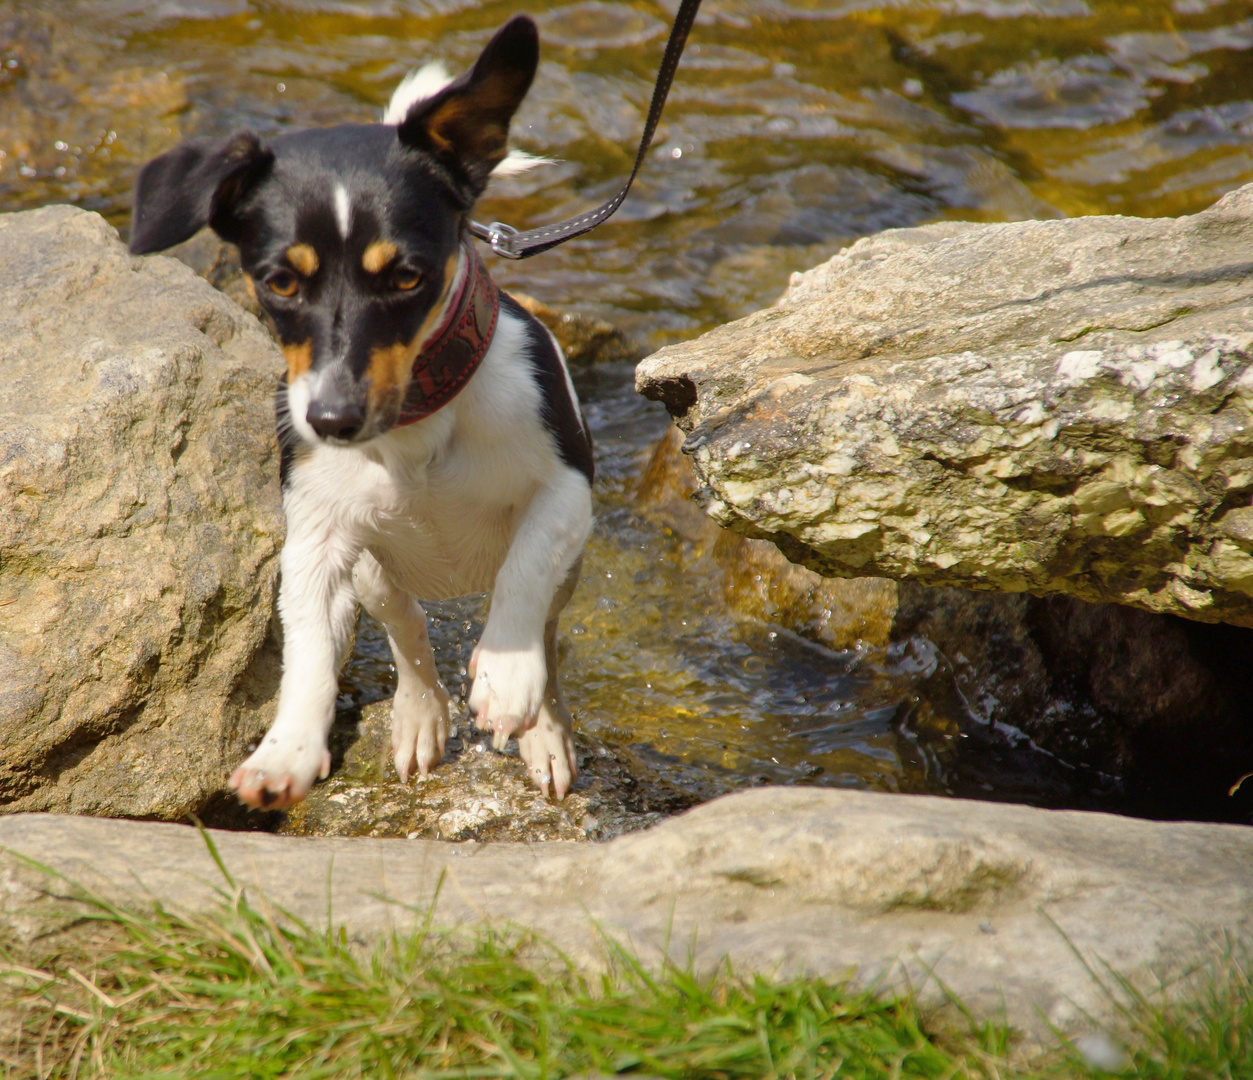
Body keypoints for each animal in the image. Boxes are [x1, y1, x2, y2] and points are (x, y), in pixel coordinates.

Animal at [129, 14, 593, 811]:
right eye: (280, 281)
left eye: (406, 276)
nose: (332, 421)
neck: (414, 429)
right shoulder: (314, 539)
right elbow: (312, 653)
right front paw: (286, 751)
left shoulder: (567, 493)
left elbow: (524, 573)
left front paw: (508, 679)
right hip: (373, 568)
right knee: (407, 628)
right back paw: (419, 716)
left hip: (569, 570)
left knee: (549, 636)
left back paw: (543, 731)